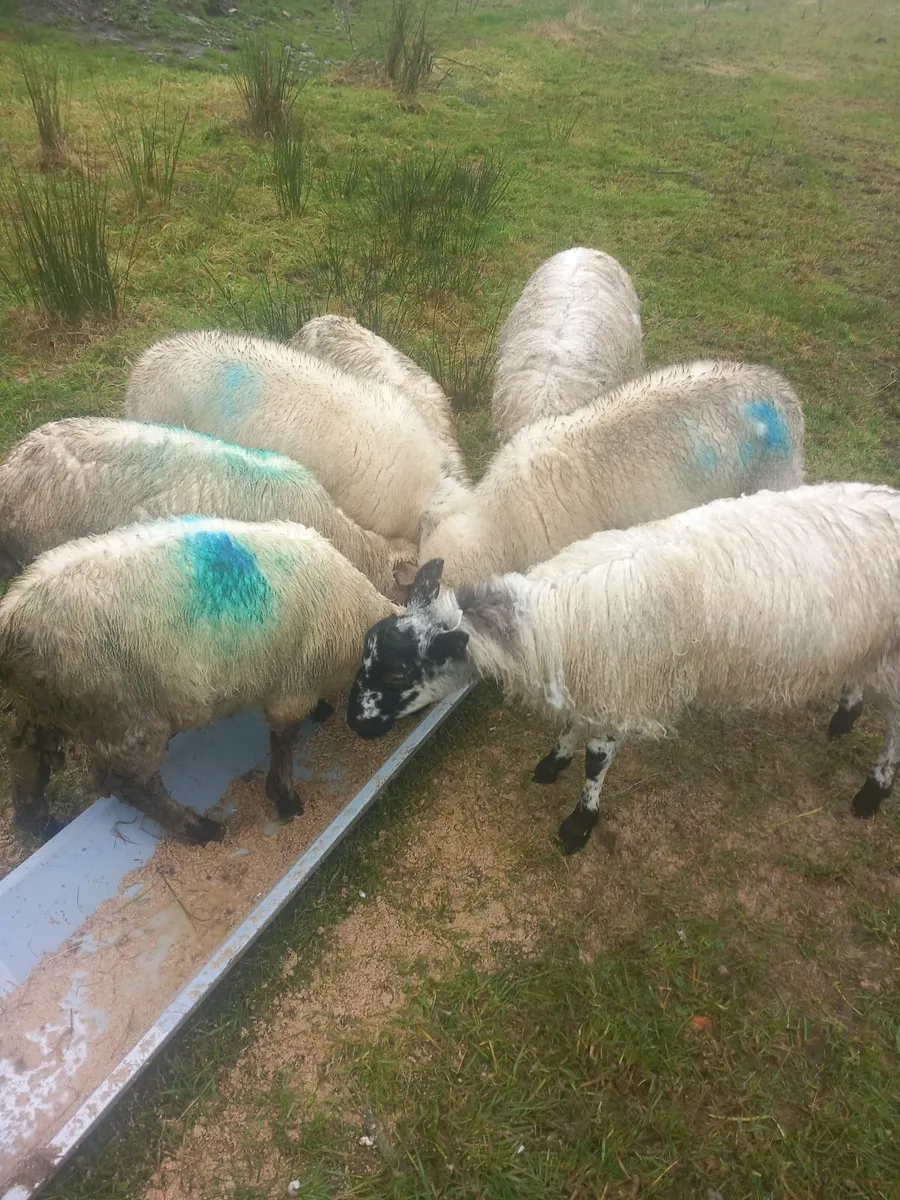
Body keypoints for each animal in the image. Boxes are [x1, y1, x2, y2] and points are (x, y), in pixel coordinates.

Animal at [0, 517, 400, 844]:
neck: (359, 615)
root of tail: (12, 616)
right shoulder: (292, 689)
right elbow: (283, 745)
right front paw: (285, 800)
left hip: (45, 703)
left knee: (25, 752)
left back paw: (37, 823)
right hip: (118, 714)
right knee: (129, 783)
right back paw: (199, 830)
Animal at [347, 482, 900, 854]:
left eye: (398, 674)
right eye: (367, 649)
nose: (354, 723)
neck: (544, 620)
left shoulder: (619, 687)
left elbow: (596, 762)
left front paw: (579, 824)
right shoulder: (589, 678)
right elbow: (572, 726)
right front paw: (554, 761)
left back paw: (873, 789)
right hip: (868, 639)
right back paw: (845, 714)